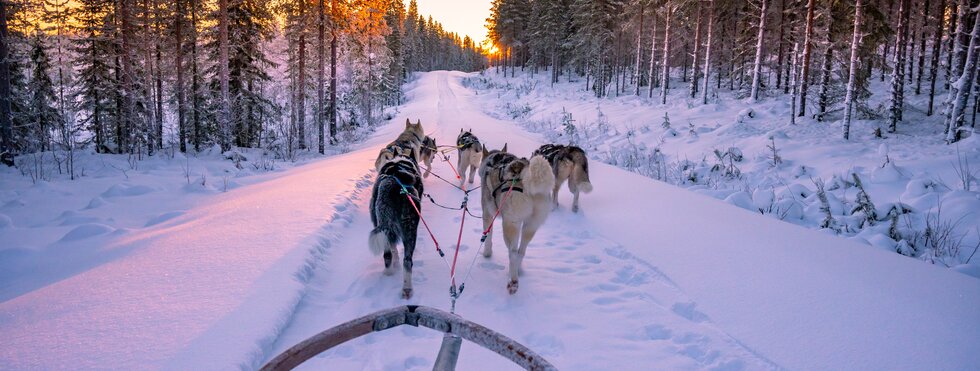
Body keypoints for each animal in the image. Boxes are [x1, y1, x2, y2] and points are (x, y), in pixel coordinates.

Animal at [368, 145, 422, 300]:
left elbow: (393, 248)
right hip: (409, 229)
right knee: (406, 260)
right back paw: (406, 288)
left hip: (386, 224)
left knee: (390, 255)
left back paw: (390, 275)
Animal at [478, 144, 556, 294]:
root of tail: (525, 177)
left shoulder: (487, 214)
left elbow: (488, 237)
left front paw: (487, 253)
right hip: (530, 226)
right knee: (521, 251)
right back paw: (517, 271)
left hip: (511, 224)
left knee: (513, 253)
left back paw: (513, 281)